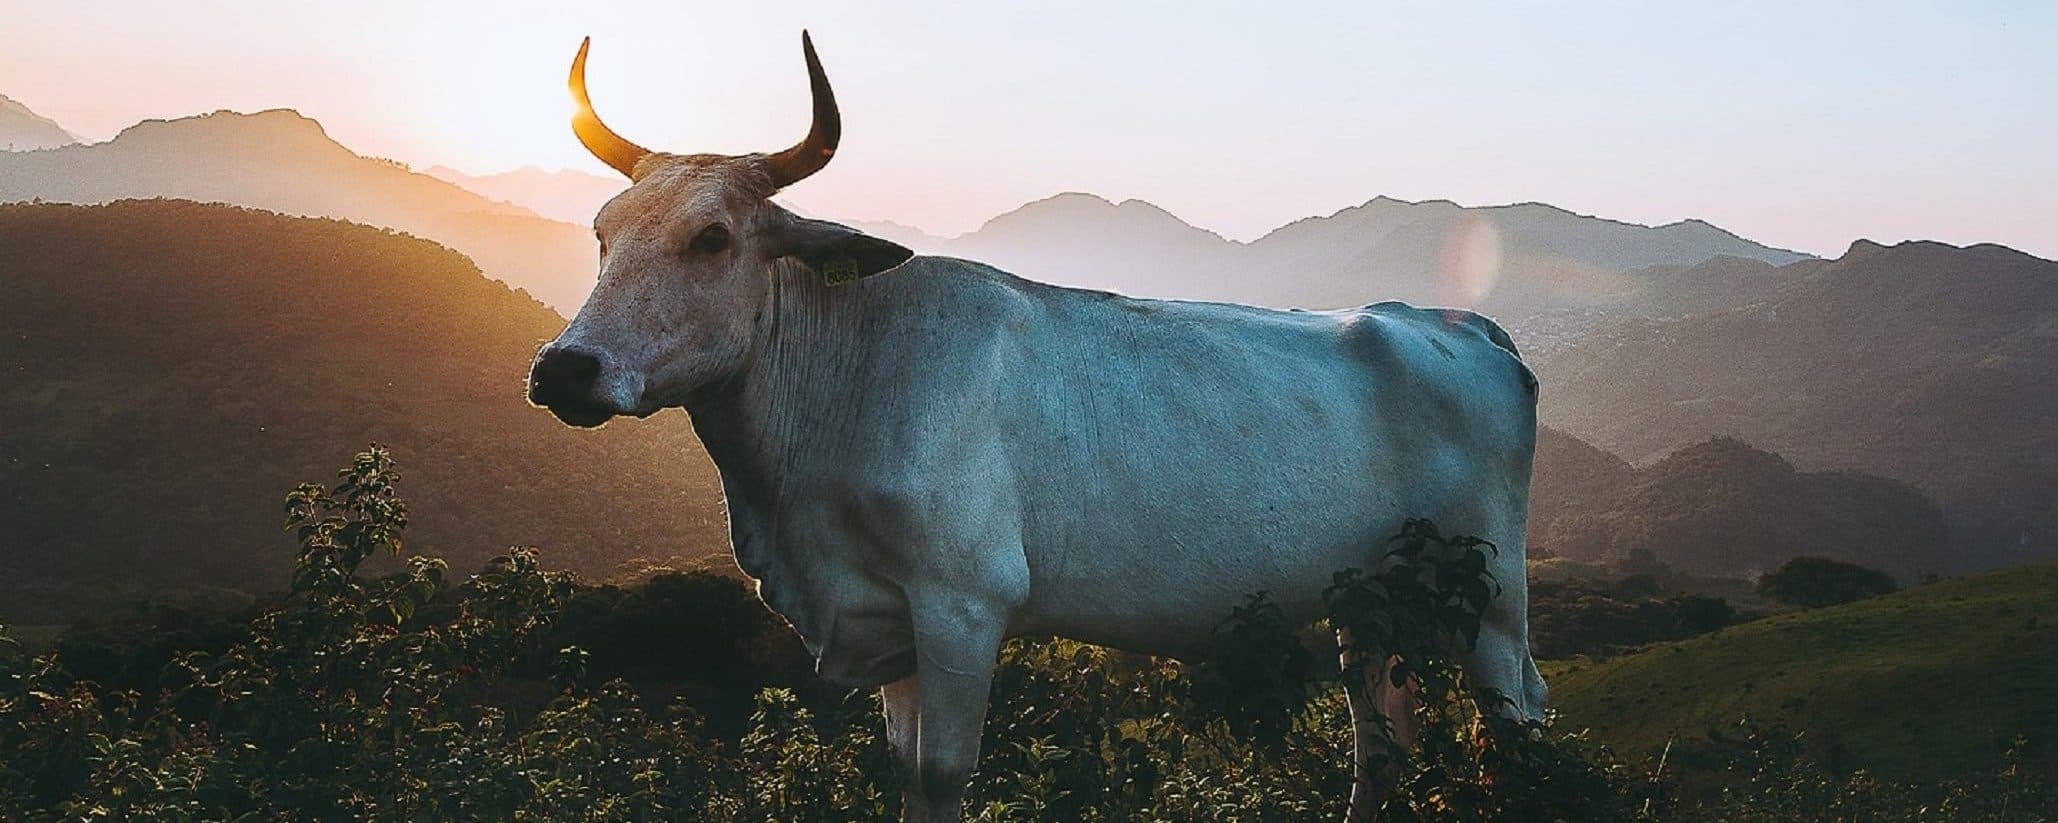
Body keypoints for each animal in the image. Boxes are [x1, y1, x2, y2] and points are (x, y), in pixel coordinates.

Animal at [528, 32, 1547, 823]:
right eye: (602, 231)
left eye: (713, 237)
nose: (563, 368)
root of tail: (1456, 324)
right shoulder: (889, 619)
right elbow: (905, 771)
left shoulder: (964, 603)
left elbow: (944, 773)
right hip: (1369, 601)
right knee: (1383, 745)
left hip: (1490, 597)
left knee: (1516, 722)